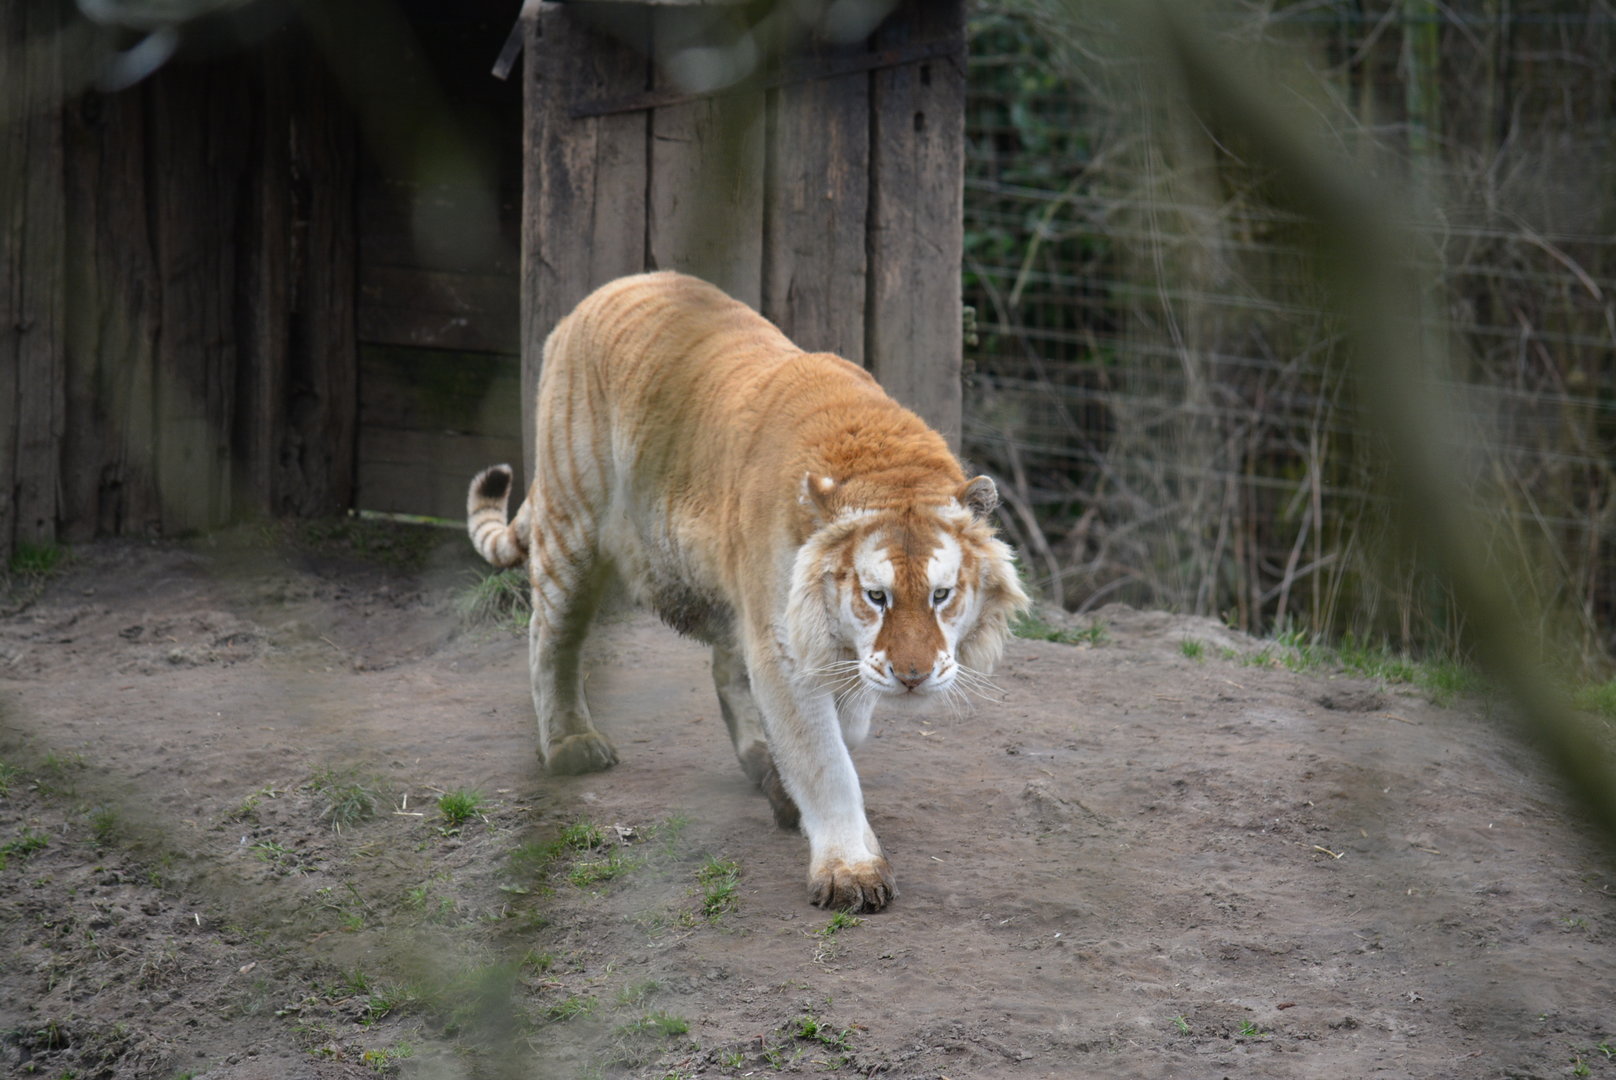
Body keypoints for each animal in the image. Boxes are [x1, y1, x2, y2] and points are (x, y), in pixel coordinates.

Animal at [467, 271, 1028, 912]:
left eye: (940, 595)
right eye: (876, 596)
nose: (913, 677)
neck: (886, 464)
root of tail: (607, 290)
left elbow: (841, 727)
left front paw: (792, 790)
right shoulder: (786, 647)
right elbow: (825, 759)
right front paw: (851, 871)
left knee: (724, 667)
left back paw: (759, 760)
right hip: (572, 524)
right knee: (550, 637)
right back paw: (571, 745)